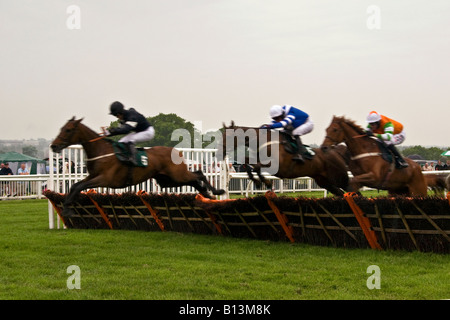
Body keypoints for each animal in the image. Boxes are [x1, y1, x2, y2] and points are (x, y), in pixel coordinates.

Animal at [50, 116, 225, 216]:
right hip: (167, 180)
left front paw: (67, 209)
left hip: (177, 175)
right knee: (194, 180)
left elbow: (80, 186)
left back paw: (216, 191)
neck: (101, 151)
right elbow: (75, 185)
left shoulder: (105, 179)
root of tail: (176, 151)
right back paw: (207, 193)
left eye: (68, 130)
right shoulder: (93, 176)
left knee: (198, 173)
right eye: (61, 128)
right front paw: (66, 207)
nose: (53, 146)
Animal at [216, 121, 350, 196]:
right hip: (323, 181)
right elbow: (248, 163)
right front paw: (260, 182)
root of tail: (337, 153)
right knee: (340, 193)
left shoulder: (278, 166)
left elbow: (258, 166)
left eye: (228, 137)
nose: (219, 153)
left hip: (338, 177)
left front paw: (265, 182)